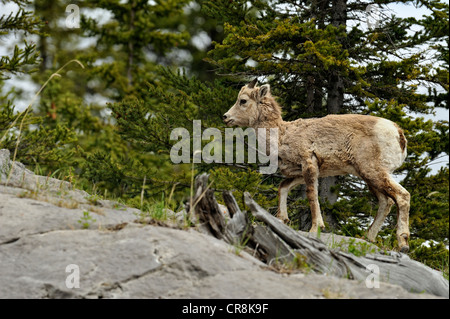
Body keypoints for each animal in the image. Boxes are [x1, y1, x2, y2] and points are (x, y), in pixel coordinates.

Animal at [222, 79, 412, 252]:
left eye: (243, 100)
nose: (225, 117)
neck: (282, 135)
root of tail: (399, 134)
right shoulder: (300, 172)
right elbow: (283, 187)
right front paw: (283, 220)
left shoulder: (309, 164)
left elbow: (312, 196)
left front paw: (315, 229)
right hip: (369, 177)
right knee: (386, 201)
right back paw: (367, 238)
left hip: (373, 172)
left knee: (402, 196)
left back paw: (403, 244)